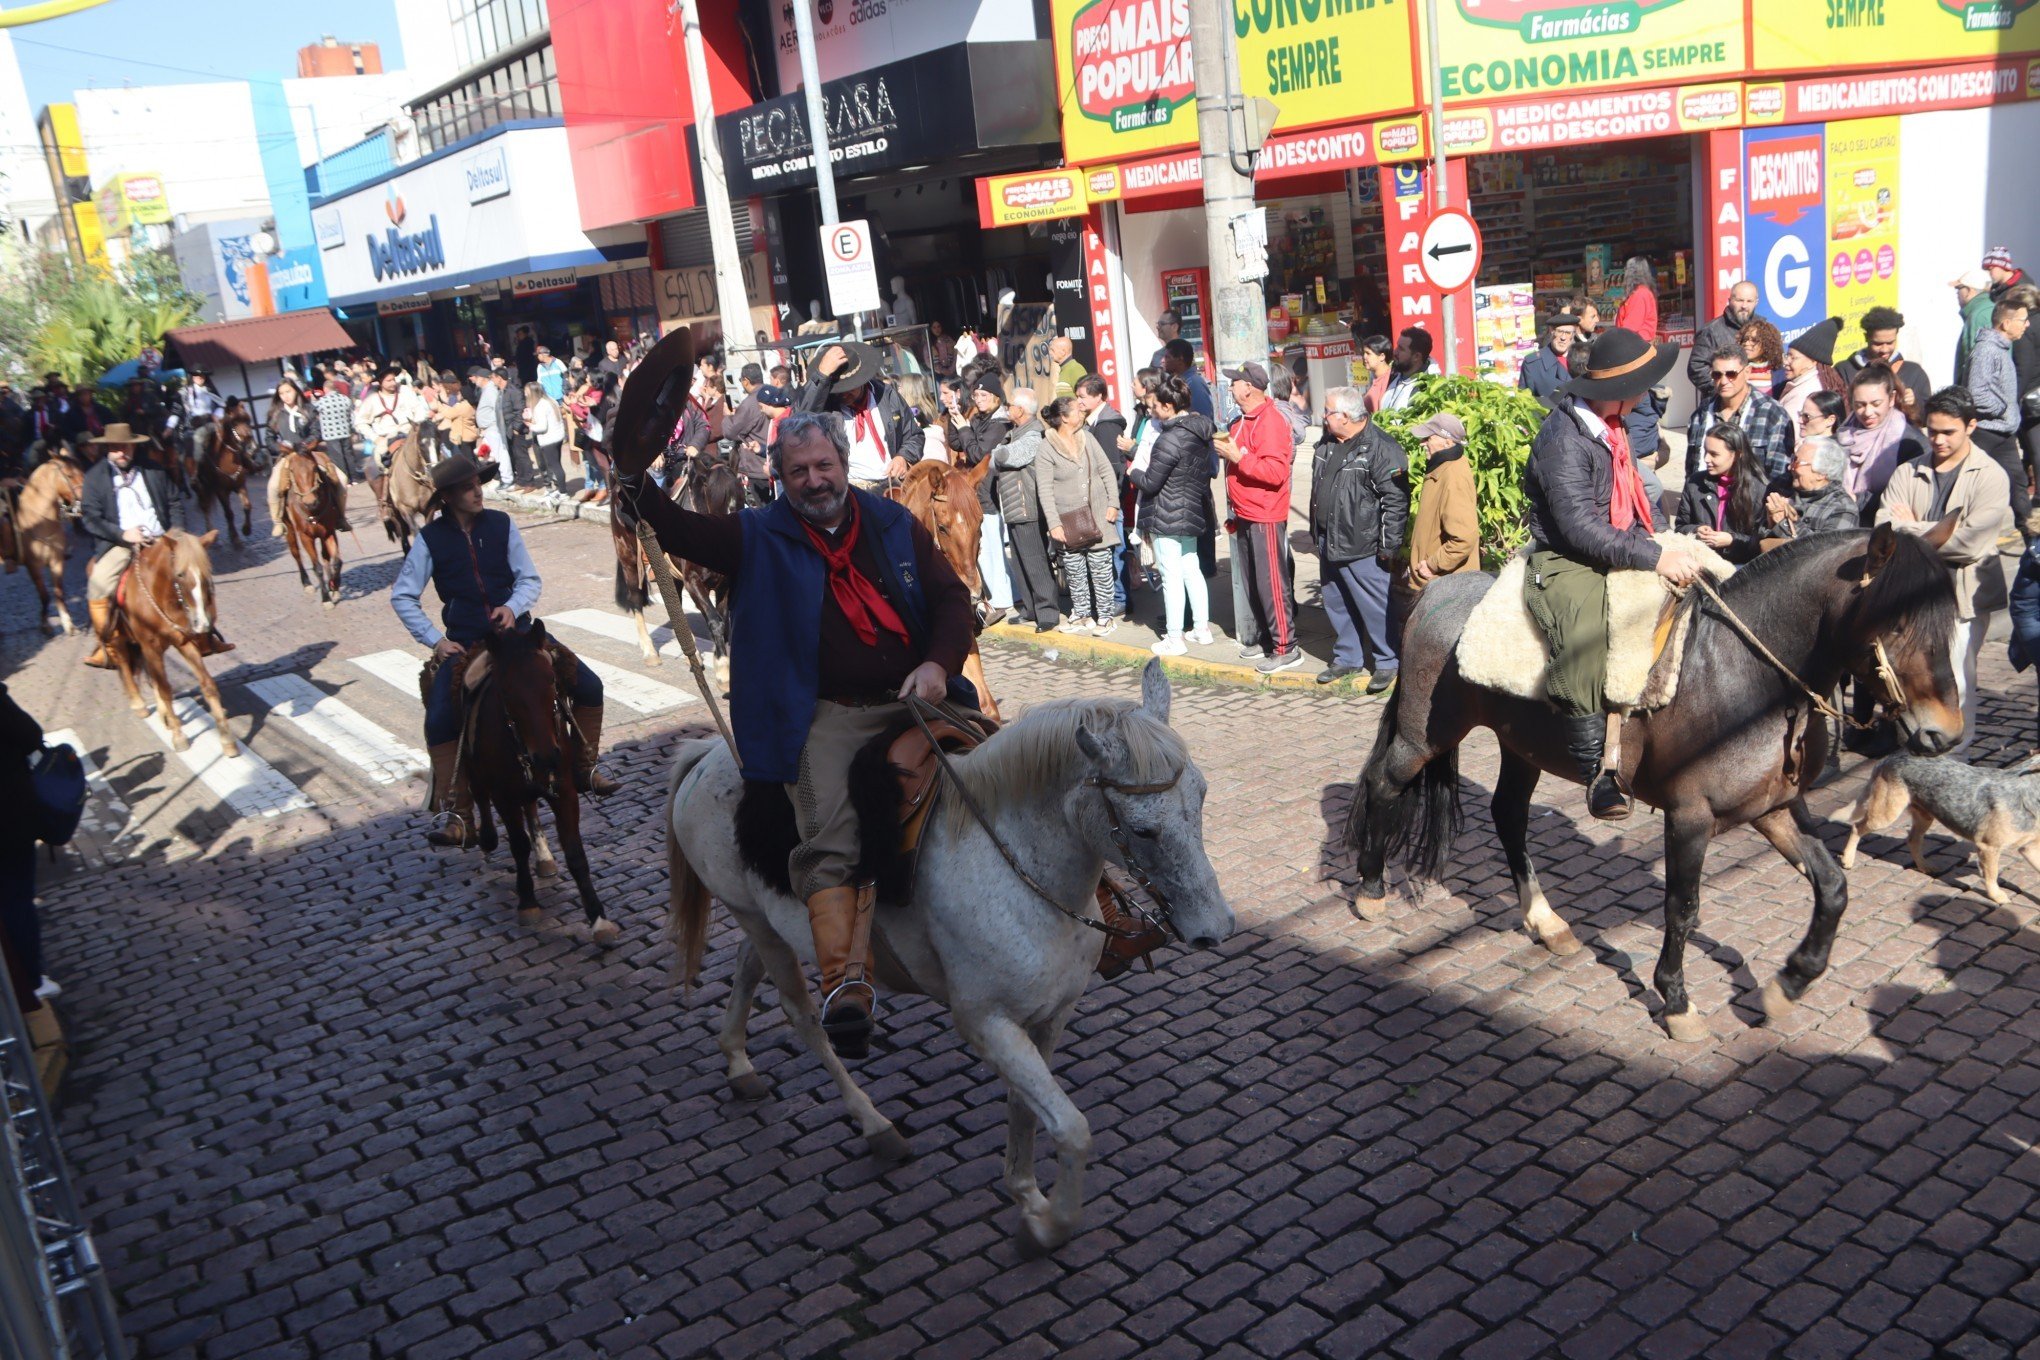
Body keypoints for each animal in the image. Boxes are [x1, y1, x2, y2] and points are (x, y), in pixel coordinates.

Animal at [0, 452, 83, 632]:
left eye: (81, 470)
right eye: (69, 475)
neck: (40, 521)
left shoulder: (56, 561)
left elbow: (58, 592)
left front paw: (67, 623)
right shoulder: (33, 566)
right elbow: (44, 595)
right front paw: (45, 624)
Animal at [98, 530, 237, 762]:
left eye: (207, 574)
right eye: (180, 575)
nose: (203, 624)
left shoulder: (185, 642)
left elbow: (207, 684)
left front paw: (227, 740)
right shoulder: (150, 645)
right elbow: (165, 688)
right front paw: (179, 737)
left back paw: (164, 715)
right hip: (120, 638)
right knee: (125, 664)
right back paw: (139, 704)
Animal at [463, 623, 612, 942]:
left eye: (551, 679)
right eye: (506, 689)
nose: (547, 756)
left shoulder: (565, 792)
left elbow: (575, 853)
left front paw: (599, 919)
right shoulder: (504, 797)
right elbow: (518, 845)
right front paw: (527, 902)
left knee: (530, 807)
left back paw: (543, 856)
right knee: (480, 795)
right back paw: (486, 838)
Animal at [665, 660, 1224, 1256]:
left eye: (1202, 795)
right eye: (1142, 829)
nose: (1215, 929)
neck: (1015, 863)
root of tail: (707, 754)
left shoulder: (1047, 1018)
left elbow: (1028, 1111)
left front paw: (1026, 1196)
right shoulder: (986, 1022)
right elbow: (1071, 1129)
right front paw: (1049, 1224)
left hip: (765, 920)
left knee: (747, 965)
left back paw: (737, 1062)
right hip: (755, 918)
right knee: (803, 1016)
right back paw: (873, 1123)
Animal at [1346, 526, 1966, 1043]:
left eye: (1952, 617)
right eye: (1899, 620)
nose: (1945, 733)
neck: (1743, 671)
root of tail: (1437, 594)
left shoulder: (1775, 808)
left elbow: (1833, 887)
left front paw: (1788, 983)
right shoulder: (1690, 815)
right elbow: (1682, 907)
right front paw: (1677, 1002)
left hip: (1519, 746)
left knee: (1508, 815)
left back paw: (1546, 922)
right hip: (1427, 736)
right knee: (1383, 782)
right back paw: (1371, 888)